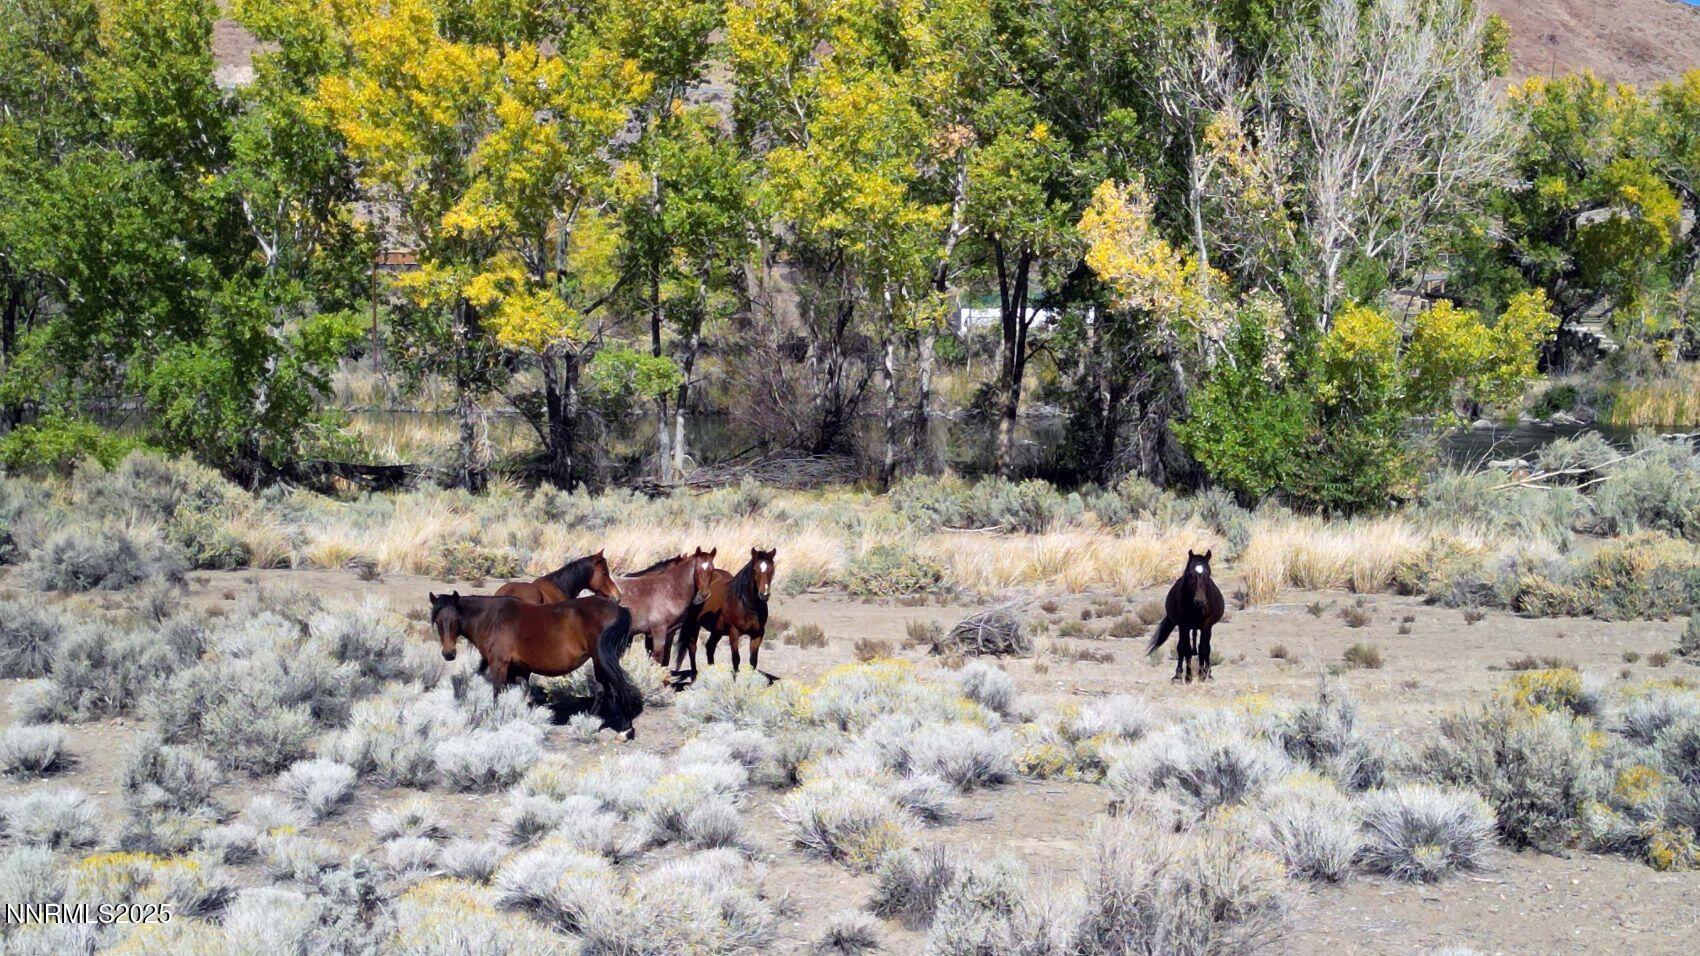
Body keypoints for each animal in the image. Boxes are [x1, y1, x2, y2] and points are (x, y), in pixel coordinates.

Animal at [428, 591, 643, 732]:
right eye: (437, 621)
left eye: (455, 620)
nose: (449, 653)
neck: (491, 619)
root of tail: (618, 608)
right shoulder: (519, 669)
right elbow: (522, 693)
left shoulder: (500, 665)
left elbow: (497, 693)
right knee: (604, 689)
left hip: (600, 659)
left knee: (609, 688)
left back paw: (617, 726)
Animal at [673, 548, 777, 683]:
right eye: (755, 569)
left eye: (772, 569)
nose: (764, 595)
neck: (747, 606)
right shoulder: (734, 633)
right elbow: (736, 659)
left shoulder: (757, 635)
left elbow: (753, 662)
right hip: (694, 624)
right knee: (693, 647)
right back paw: (694, 676)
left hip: (717, 631)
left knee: (710, 647)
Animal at [1145, 549, 1225, 683]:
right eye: (1191, 574)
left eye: (1208, 574)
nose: (1200, 600)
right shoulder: (1184, 625)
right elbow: (1185, 649)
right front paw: (1188, 677)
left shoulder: (1207, 625)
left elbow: (1204, 649)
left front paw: (1204, 675)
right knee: (1181, 648)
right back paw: (1178, 675)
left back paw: (1204, 672)